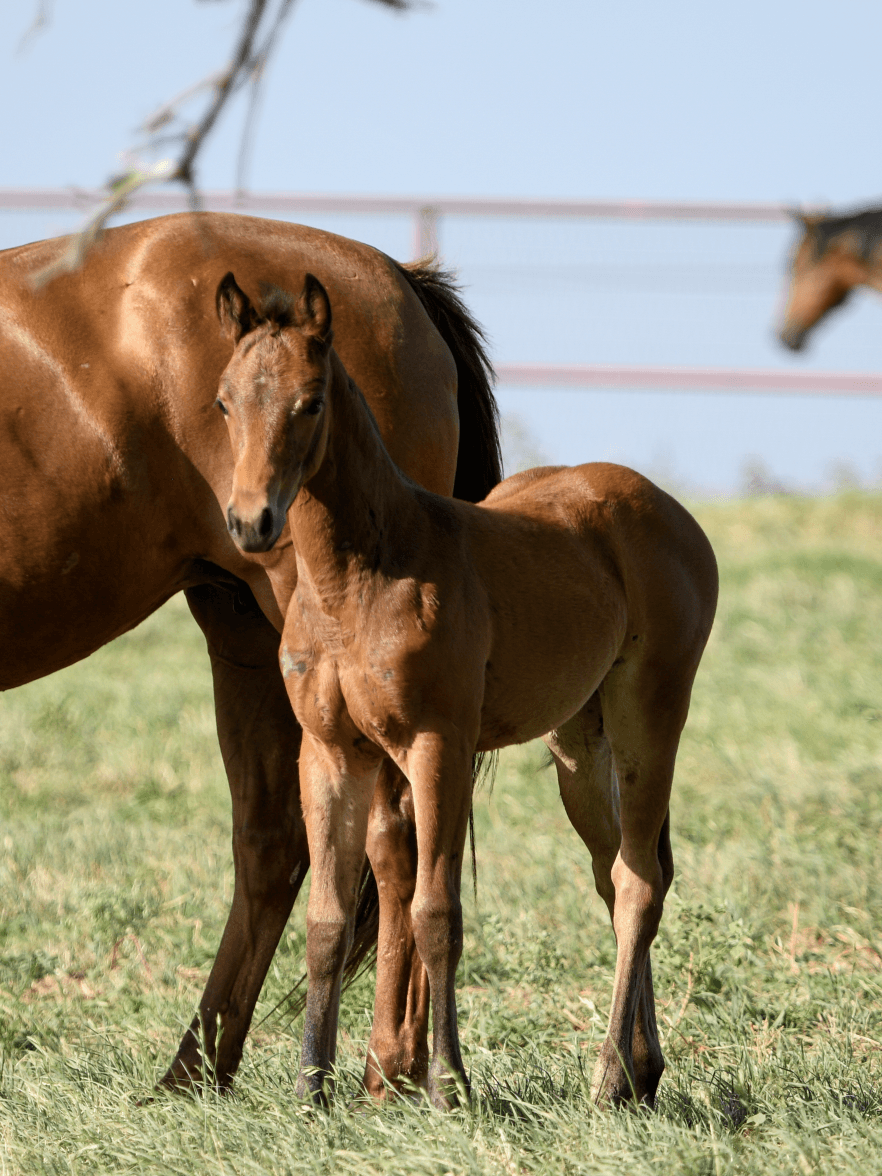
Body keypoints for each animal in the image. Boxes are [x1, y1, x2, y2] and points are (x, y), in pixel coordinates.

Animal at [0, 212, 502, 1092]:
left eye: (308, 405)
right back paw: (199, 1070)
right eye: (225, 403)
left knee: (393, 838)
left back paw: (386, 1071)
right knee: (276, 844)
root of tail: (400, 280)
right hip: (247, 638)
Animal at [216, 271, 719, 1109]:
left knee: (639, 881)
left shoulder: (436, 745)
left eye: (309, 402)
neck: (359, 576)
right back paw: (639, 1074)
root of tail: (669, 509)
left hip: (651, 715)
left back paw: (606, 1077)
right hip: (579, 743)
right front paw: (310, 1090)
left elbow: (435, 911)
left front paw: (448, 1083)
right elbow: (325, 919)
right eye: (224, 401)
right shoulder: (329, 751)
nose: (250, 521)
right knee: (615, 873)